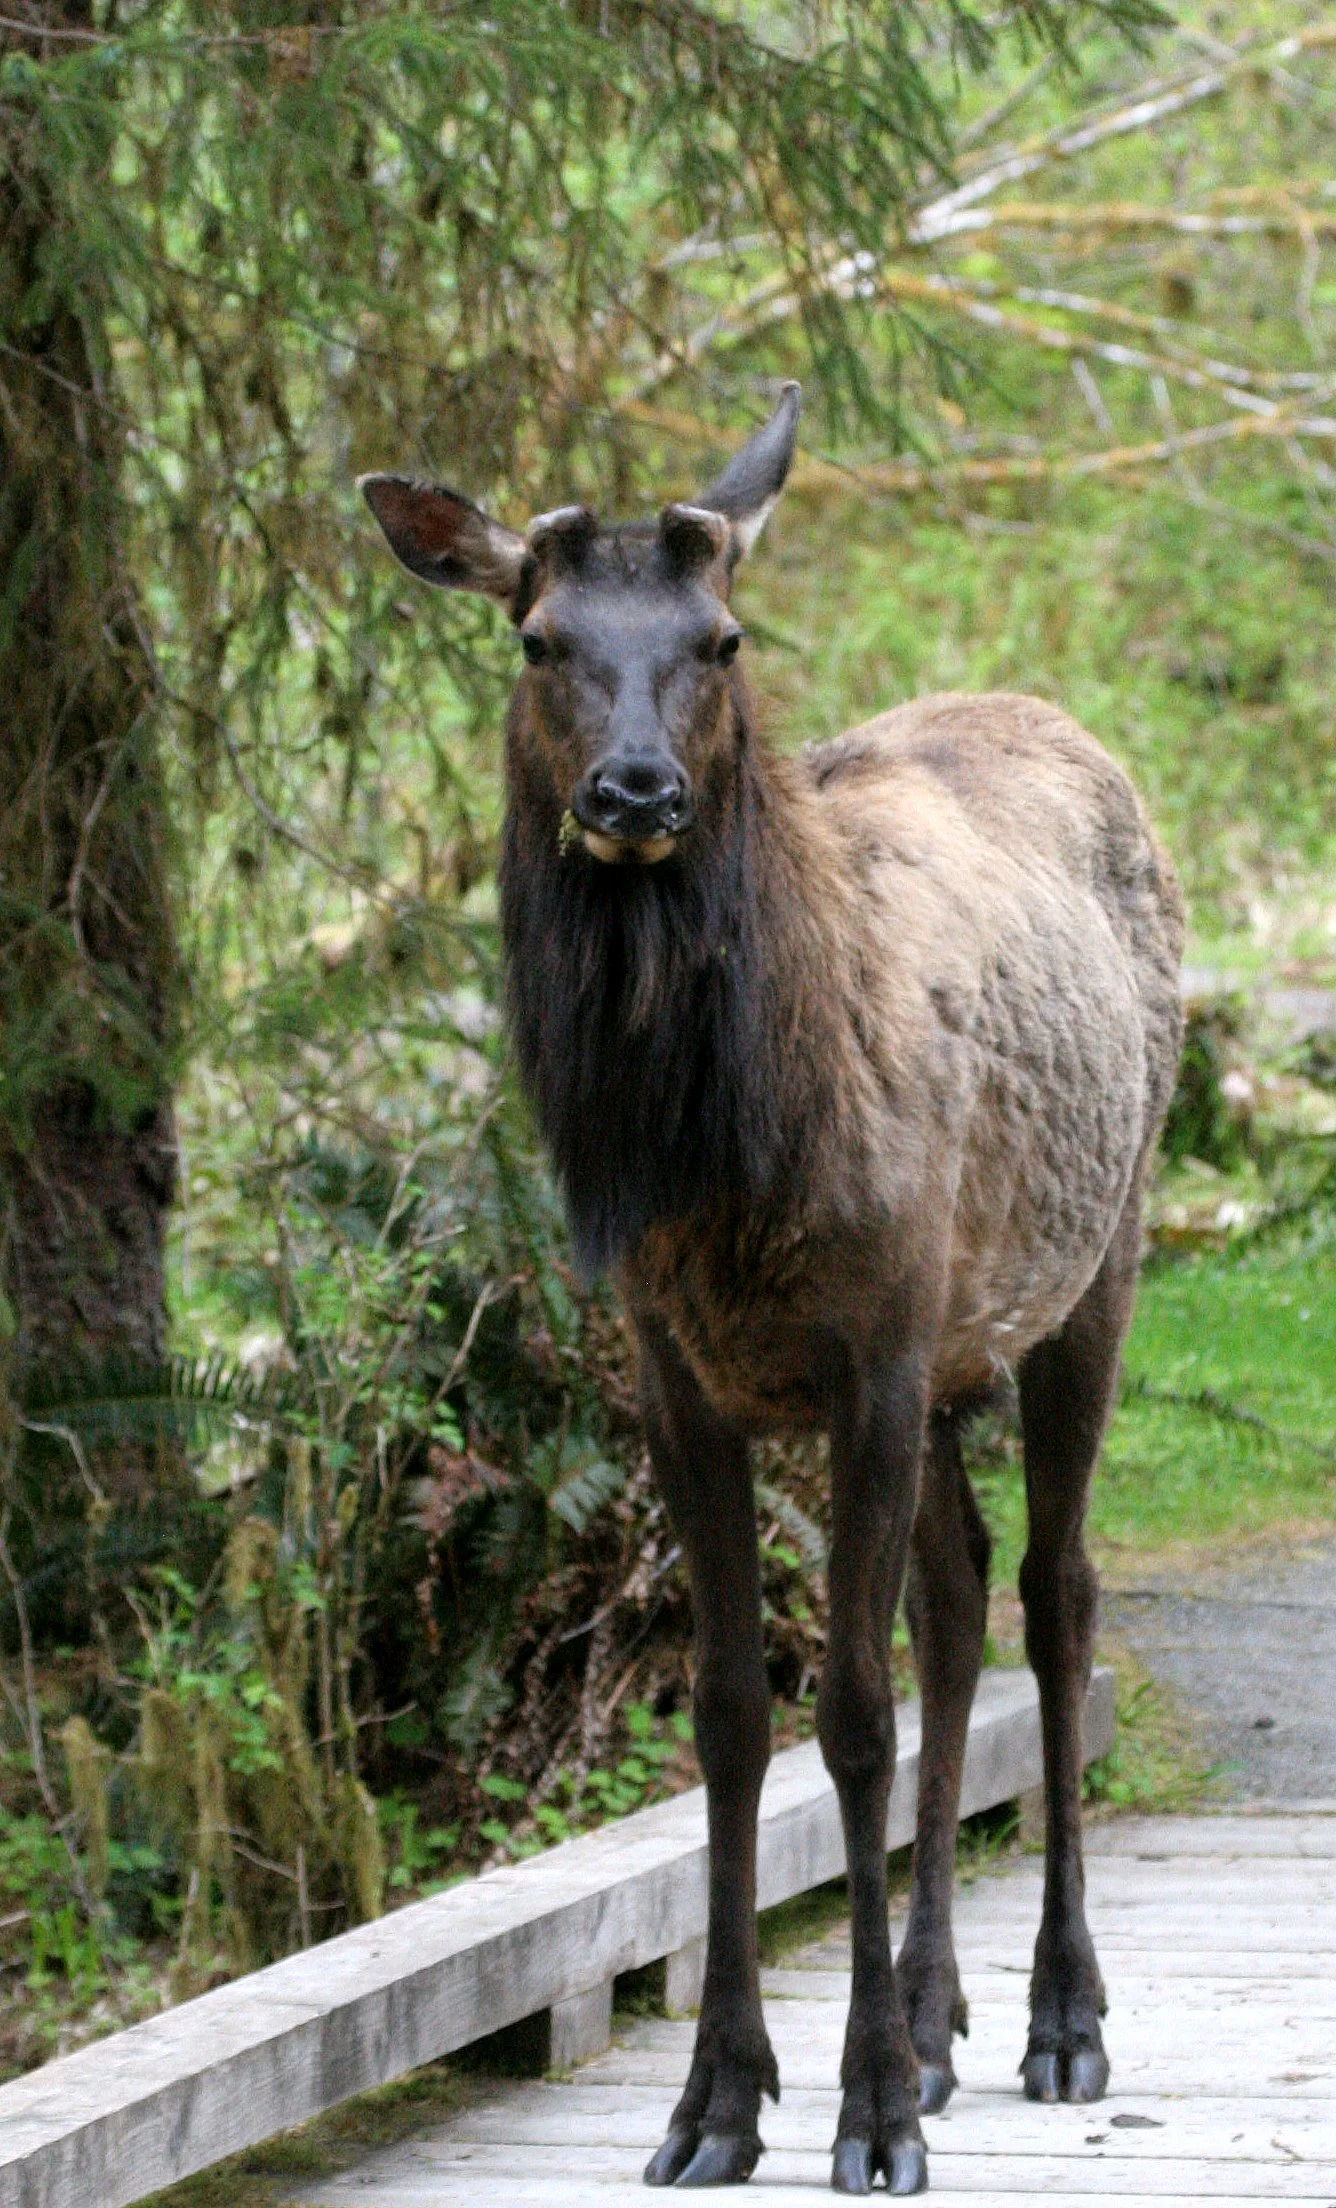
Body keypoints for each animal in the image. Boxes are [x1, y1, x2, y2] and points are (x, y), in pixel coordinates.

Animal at [360, 383, 1184, 2197]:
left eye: (720, 638)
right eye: (538, 637)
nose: (636, 788)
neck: (718, 1163)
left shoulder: (870, 1347)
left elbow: (853, 1716)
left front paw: (863, 2108)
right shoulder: (686, 1375)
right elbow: (737, 1713)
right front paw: (722, 2099)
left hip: (1092, 1261)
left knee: (1056, 1594)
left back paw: (1055, 2015)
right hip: (957, 1343)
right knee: (958, 1594)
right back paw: (940, 2013)